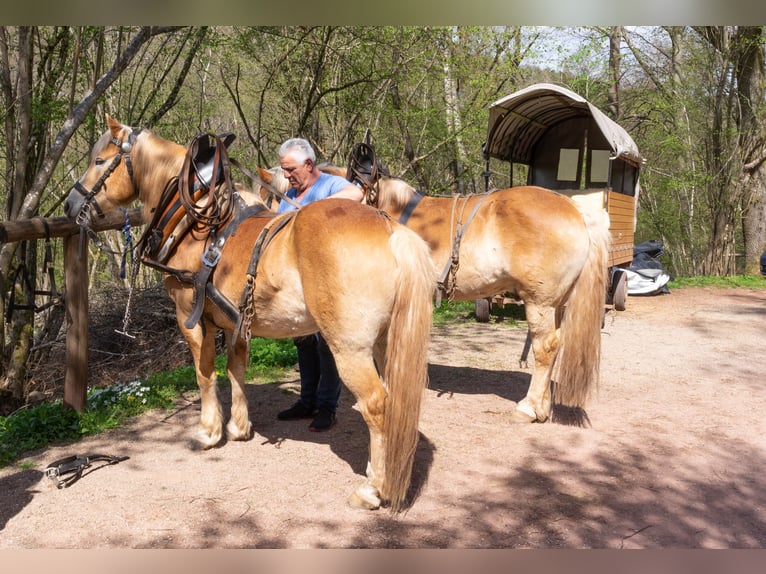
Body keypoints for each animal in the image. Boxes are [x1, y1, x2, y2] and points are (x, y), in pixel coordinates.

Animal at [64, 113, 438, 512]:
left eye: (100, 161)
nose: (71, 204)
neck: (197, 227)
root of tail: (390, 229)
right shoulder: (235, 321)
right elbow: (236, 368)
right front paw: (238, 427)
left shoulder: (190, 318)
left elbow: (205, 373)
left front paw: (209, 431)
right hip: (385, 340)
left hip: (349, 347)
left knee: (376, 405)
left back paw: (372, 488)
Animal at [260, 164, 616, 426]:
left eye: (273, 196)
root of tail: (575, 208)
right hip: (557, 303)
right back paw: (542, 406)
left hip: (540, 301)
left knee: (546, 347)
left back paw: (528, 408)